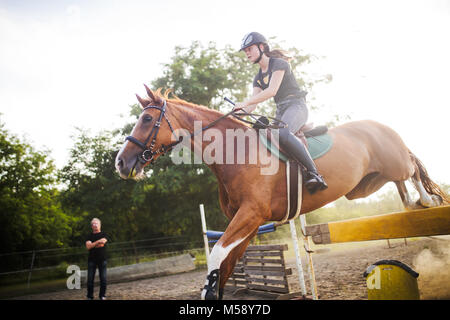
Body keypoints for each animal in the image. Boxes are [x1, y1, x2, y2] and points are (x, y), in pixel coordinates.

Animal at [115, 85, 446, 300]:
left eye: (147, 119)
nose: (121, 163)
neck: (236, 153)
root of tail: (382, 125)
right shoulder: (248, 223)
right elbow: (228, 262)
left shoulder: (251, 215)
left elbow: (217, 254)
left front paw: (208, 290)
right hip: (365, 186)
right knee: (401, 183)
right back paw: (414, 204)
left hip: (393, 163)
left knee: (412, 167)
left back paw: (427, 199)